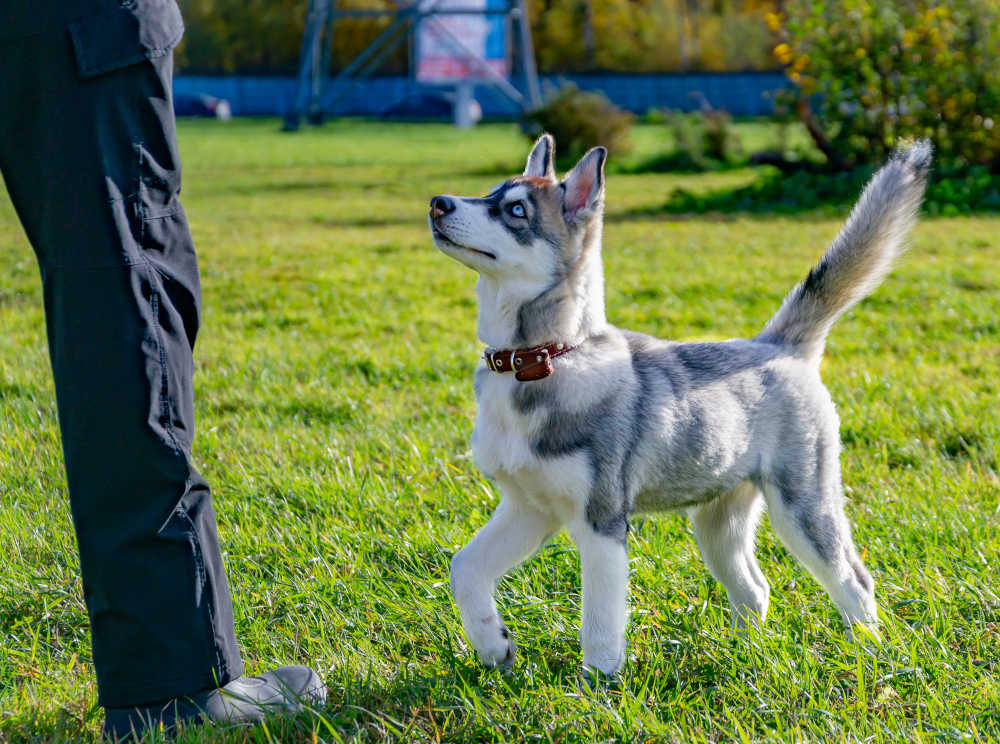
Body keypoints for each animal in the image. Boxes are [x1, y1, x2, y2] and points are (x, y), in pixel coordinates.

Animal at [428, 132, 928, 676]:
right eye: (490, 192)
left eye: (515, 210)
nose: (438, 203)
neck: (540, 359)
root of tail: (777, 345)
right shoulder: (529, 507)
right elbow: (464, 567)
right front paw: (492, 645)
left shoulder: (602, 522)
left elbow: (600, 626)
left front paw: (596, 689)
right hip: (718, 521)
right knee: (755, 588)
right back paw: (745, 660)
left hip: (804, 505)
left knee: (854, 580)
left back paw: (870, 656)